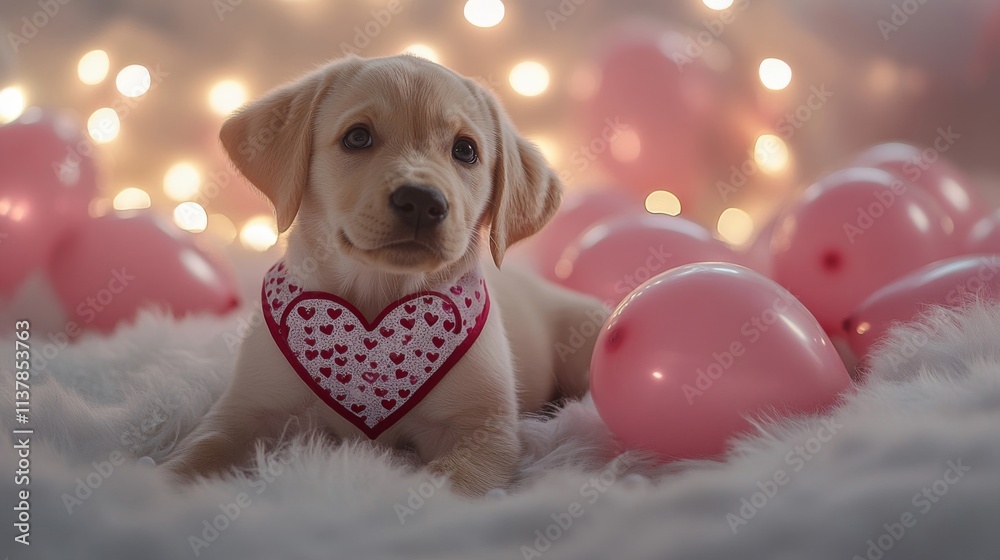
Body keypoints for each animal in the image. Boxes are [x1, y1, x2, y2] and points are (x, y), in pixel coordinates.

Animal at [163, 55, 600, 494]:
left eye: (465, 150)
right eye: (357, 138)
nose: (421, 201)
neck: (377, 295)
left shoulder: (483, 430)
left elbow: (451, 485)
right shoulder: (243, 410)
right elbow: (196, 453)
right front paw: (156, 488)